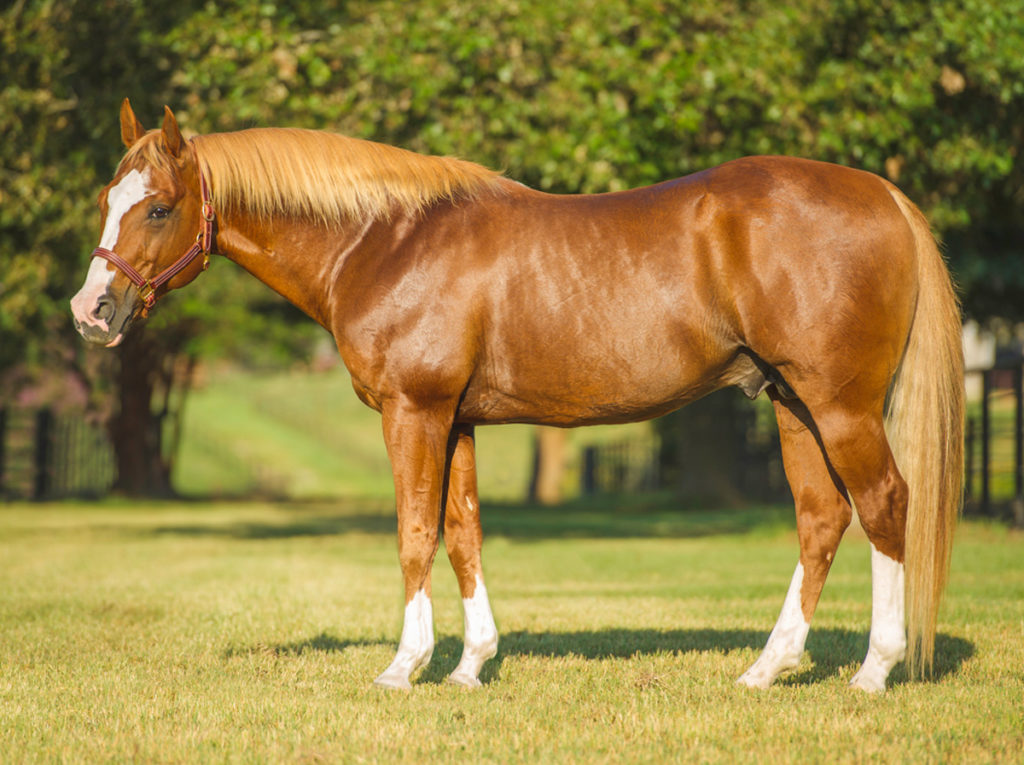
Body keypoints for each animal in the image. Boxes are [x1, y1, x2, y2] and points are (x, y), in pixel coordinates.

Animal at [72, 100, 964, 692]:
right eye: (109, 202)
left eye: (159, 207)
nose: (92, 310)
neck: (384, 240)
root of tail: (883, 195)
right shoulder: (457, 419)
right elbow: (463, 533)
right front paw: (471, 664)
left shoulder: (415, 411)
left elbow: (414, 534)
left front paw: (404, 666)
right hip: (791, 403)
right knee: (822, 518)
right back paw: (767, 667)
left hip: (840, 406)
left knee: (885, 504)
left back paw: (874, 670)